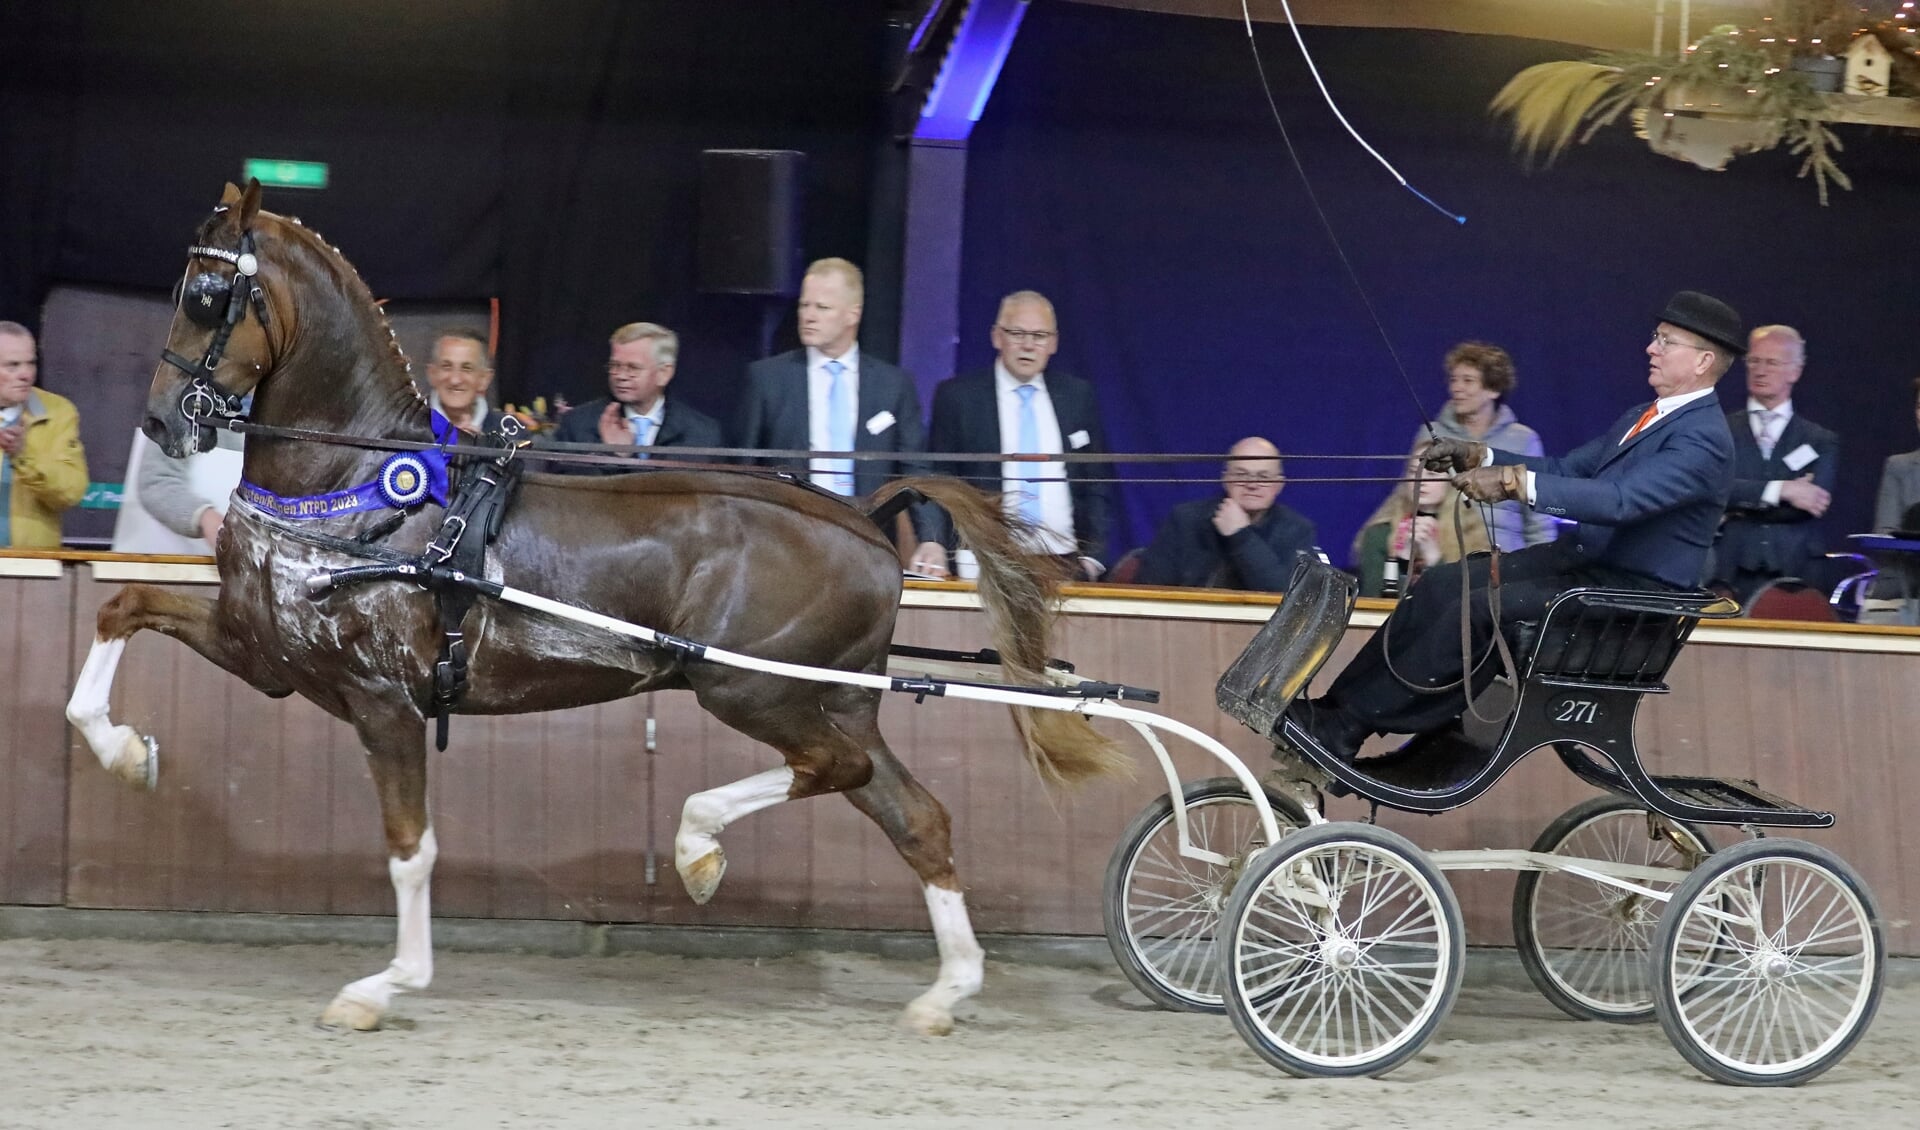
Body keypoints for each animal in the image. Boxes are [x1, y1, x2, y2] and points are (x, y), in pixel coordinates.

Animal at [67, 180, 1121, 1035]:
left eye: (206, 296)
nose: (160, 421)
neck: (362, 491)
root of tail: (860, 515)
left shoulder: (382, 700)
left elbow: (410, 848)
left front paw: (384, 988)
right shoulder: (268, 654)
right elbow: (121, 610)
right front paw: (127, 754)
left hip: (754, 688)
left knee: (839, 769)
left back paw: (698, 845)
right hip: (833, 696)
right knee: (916, 816)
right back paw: (945, 992)